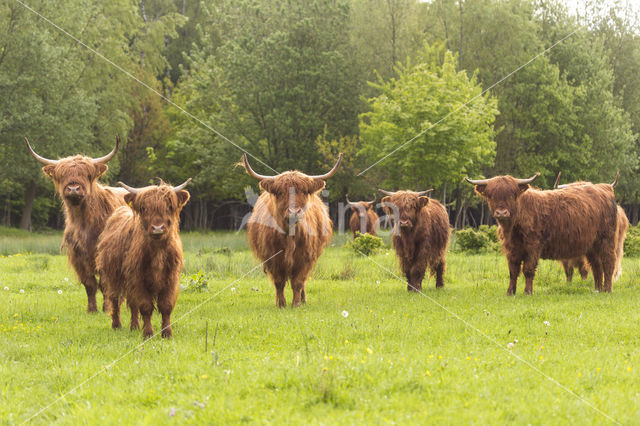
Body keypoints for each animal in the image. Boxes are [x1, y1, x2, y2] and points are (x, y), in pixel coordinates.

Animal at [25, 136, 125, 312]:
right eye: (62, 174)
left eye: (87, 174)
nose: (73, 188)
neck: (84, 221)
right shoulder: (78, 256)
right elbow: (89, 284)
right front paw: (91, 309)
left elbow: (104, 284)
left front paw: (106, 309)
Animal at [95, 178, 190, 338]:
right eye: (144, 208)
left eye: (169, 207)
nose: (157, 228)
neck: (158, 251)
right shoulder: (138, 279)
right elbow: (145, 306)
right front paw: (148, 333)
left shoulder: (171, 278)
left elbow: (166, 306)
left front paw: (167, 333)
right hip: (112, 275)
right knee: (115, 299)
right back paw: (117, 325)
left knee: (133, 304)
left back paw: (134, 326)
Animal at [241, 153, 342, 306]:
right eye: (281, 192)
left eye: (304, 191)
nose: (294, 212)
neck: (290, 236)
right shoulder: (273, 258)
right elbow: (279, 282)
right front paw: (281, 304)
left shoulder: (305, 258)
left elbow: (298, 282)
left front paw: (296, 303)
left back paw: (303, 299)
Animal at [464, 173, 620, 292]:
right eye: (491, 195)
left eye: (512, 194)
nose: (502, 213)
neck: (512, 228)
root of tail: (604, 189)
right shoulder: (511, 249)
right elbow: (513, 271)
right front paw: (510, 292)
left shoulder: (533, 247)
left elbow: (528, 270)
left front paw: (528, 292)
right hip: (592, 245)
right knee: (596, 265)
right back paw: (597, 289)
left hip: (606, 239)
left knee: (608, 262)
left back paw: (607, 289)